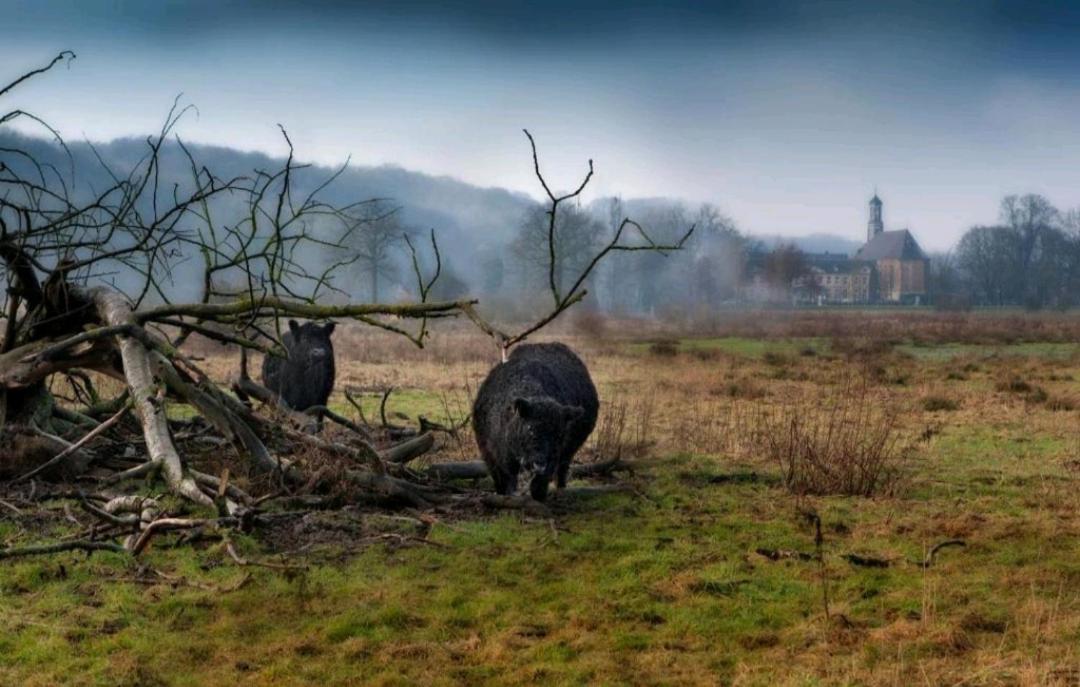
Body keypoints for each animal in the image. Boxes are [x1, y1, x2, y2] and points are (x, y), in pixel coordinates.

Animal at [470, 341, 600, 499]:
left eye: (559, 435)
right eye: (530, 429)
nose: (540, 464)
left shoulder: (554, 456)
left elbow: (539, 484)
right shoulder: (491, 453)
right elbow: (503, 480)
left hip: (569, 451)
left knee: (563, 469)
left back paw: (561, 489)